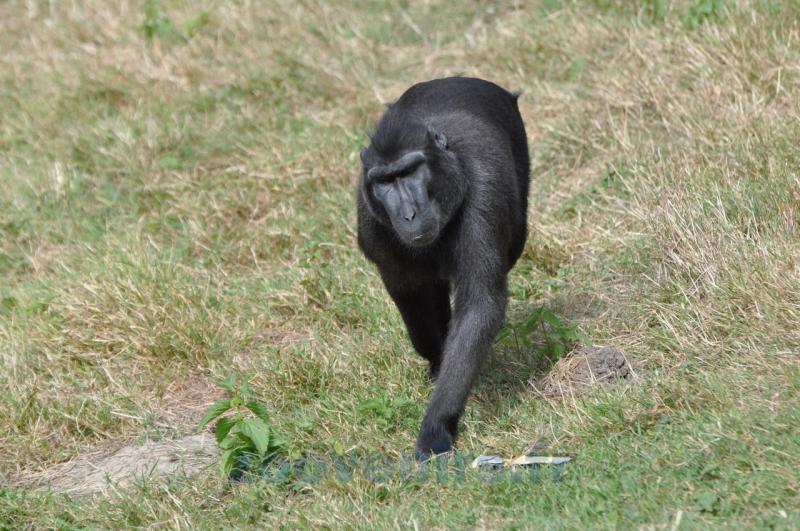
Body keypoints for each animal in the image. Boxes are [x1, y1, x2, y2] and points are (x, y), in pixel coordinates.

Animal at [357, 76, 530, 461]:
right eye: (385, 181)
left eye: (410, 171)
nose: (408, 214)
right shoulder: (371, 218)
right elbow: (410, 293)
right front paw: (437, 361)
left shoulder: (483, 194)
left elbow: (480, 304)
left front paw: (436, 426)